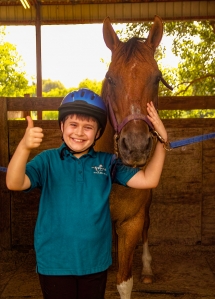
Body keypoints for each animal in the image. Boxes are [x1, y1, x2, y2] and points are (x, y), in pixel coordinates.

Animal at [95, 15, 171, 299]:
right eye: (110, 78)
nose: (136, 147)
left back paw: (147, 269)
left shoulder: (131, 223)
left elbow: (124, 283)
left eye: (157, 78)